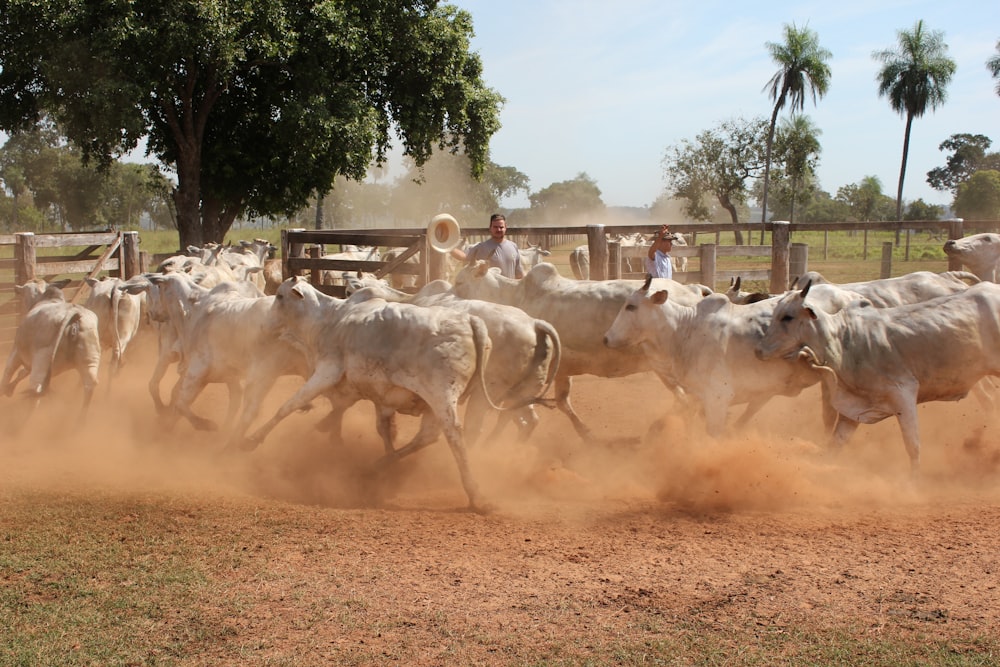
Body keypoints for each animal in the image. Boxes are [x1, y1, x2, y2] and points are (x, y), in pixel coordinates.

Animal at [1, 280, 101, 418]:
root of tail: (74, 314)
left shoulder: (16, 352)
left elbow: (7, 373)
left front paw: (6, 389)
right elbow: (21, 373)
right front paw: (9, 389)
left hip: (42, 359)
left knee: (35, 389)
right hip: (90, 359)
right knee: (89, 385)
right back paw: (79, 421)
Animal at [239, 276, 504, 512]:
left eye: (279, 296)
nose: (265, 325)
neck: (329, 320)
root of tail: (470, 320)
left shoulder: (328, 371)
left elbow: (290, 405)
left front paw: (250, 440)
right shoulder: (373, 392)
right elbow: (378, 426)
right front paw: (331, 431)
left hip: (442, 395)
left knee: (454, 436)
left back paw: (476, 496)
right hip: (436, 404)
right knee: (427, 437)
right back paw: (377, 466)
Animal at [752, 282, 1000, 474]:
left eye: (788, 317)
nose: (759, 350)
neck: (843, 341)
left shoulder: (904, 394)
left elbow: (913, 444)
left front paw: (914, 482)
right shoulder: (853, 409)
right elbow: (835, 444)